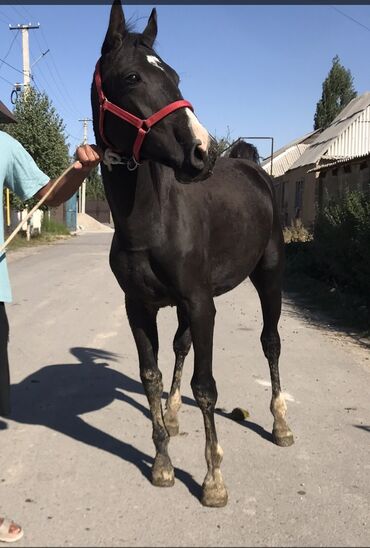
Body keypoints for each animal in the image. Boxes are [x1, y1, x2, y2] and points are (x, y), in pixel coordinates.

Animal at [91, 0, 294, 510]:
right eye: (132, 77)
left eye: (175, 76)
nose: (202, 152)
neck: (152, 219)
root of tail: (252, 168)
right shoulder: (140, 307)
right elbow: (151, 376)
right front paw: (162, 462)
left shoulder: (202, 304)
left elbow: (207, 387)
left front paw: (213, 479)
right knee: (181, 347)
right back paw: (174, 417)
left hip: (270, 277)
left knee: (271, 342)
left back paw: (281, 423)